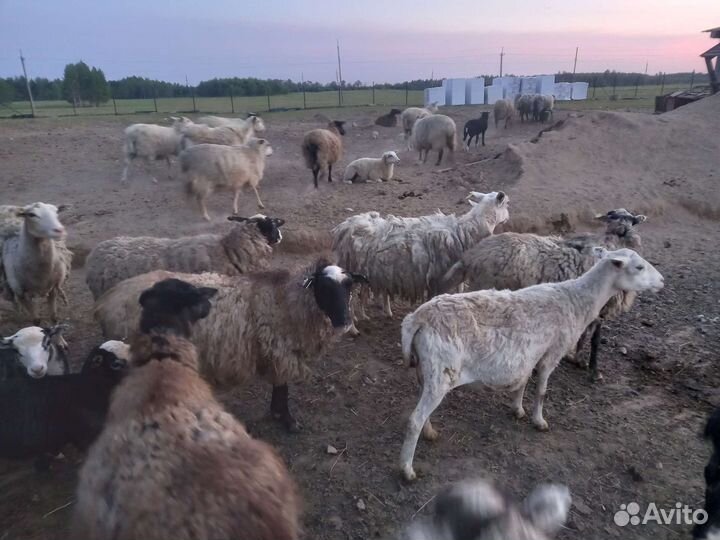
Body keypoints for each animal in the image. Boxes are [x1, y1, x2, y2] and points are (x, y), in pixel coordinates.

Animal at [93, 260, 368, 432]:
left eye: (349, 287)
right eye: (324, 288)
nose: (345, 322)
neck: (286, 300)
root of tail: (108, 300)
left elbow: (279, 388)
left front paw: (277, 414)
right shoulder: (280, 352)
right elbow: (283, 389)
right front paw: (287, 421)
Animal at [332, 191, 509, 328]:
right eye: (507, 204)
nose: (507, 219)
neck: (465, 231)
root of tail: (344, 228)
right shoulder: (439, 279)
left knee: (361, 295)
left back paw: (365, 316)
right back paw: (354, 328)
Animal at [398, 248, 664, 480]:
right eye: (639, 267)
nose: (662, 281)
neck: (576, 300)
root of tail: (417, 319)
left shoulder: (530, 353)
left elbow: (524, 382)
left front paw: (517, 409)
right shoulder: (552, 352)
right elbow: (542, 391)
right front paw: (539, 421)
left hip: (426, 371)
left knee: (421, 410)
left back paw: (430, 432)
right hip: (442, 372)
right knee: (413, 420)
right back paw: (407, 470)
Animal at [440, 208, 648, 380]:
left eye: (631, 221)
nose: (624, 230)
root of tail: (472, 256)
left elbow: (584, 334)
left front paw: (576, 358)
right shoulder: (603, 305)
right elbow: (595, 339)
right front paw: (593, 370)